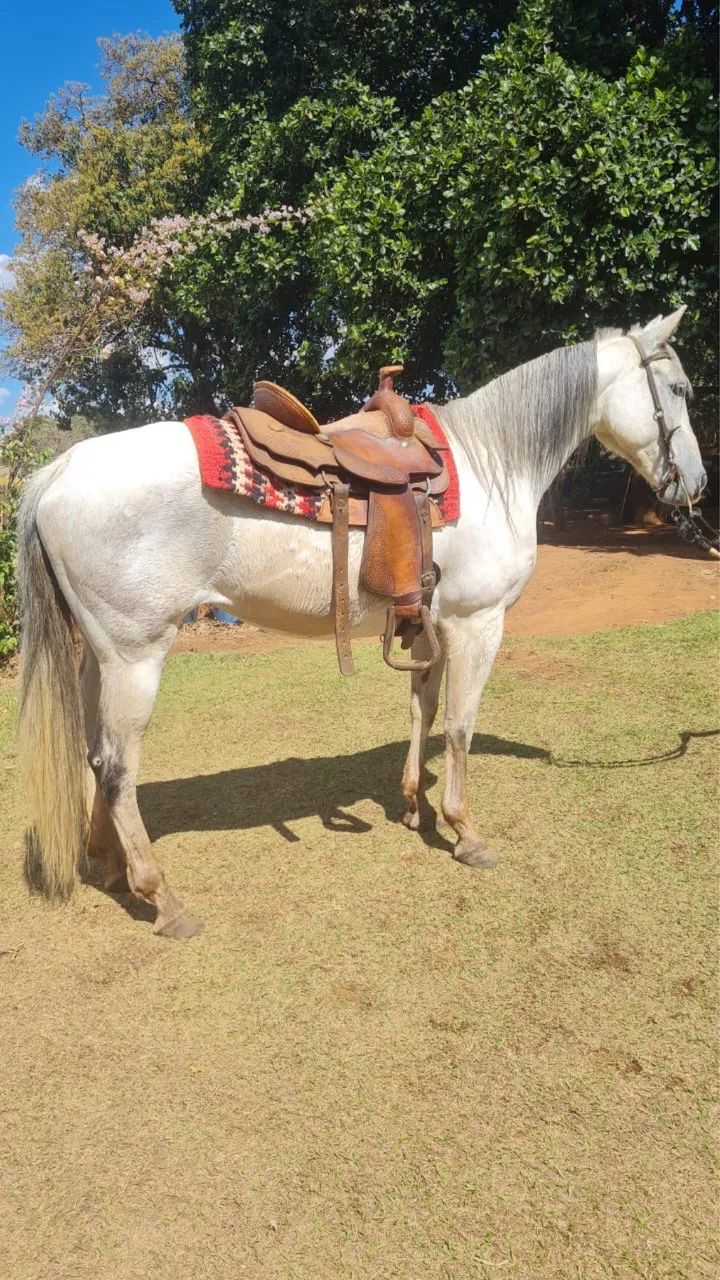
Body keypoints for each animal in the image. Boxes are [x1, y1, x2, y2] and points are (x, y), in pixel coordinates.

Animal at [17, 307, 705, 938]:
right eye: (677, 389)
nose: (695, 483)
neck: (492, 465)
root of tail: (57, 471)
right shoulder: (476, 624)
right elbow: (460, 727)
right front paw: (465, 831)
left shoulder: (428, 625)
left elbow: (422, 712)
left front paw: (415, 807)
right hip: (137, 656)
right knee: (116, 768)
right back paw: (163, 898)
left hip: (98, 655)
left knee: (92, 755)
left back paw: (109, 865)